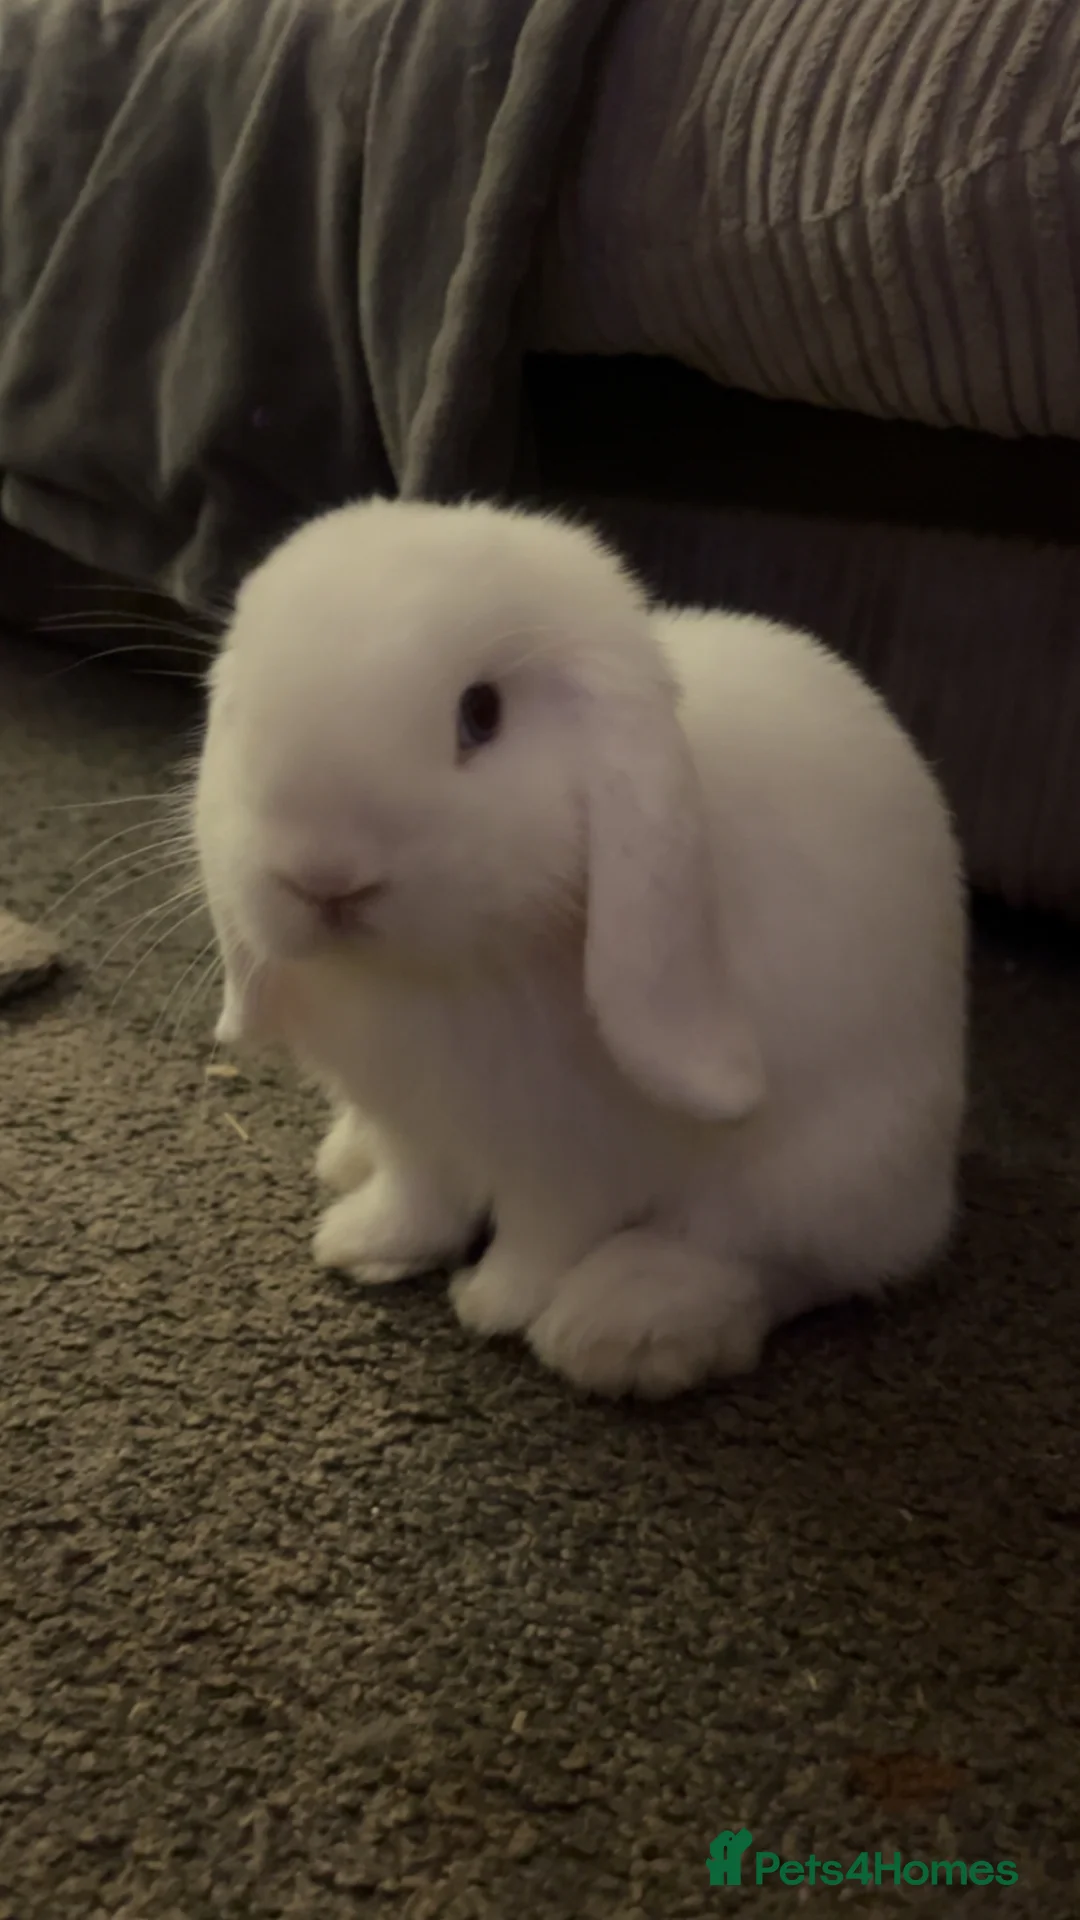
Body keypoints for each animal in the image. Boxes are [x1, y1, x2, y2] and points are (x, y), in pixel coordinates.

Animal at [193, 497, 967, 1399]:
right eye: (240, 719)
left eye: (481, 714)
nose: (325, 878)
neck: (429, 978)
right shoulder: (416, 1125)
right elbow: (419, 1195)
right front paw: (364, 1246)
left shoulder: (574, 1162)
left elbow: (543, 1236)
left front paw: (492, 1304)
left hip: (823, 1170)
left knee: (774, 1263)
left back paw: (621, 1326)